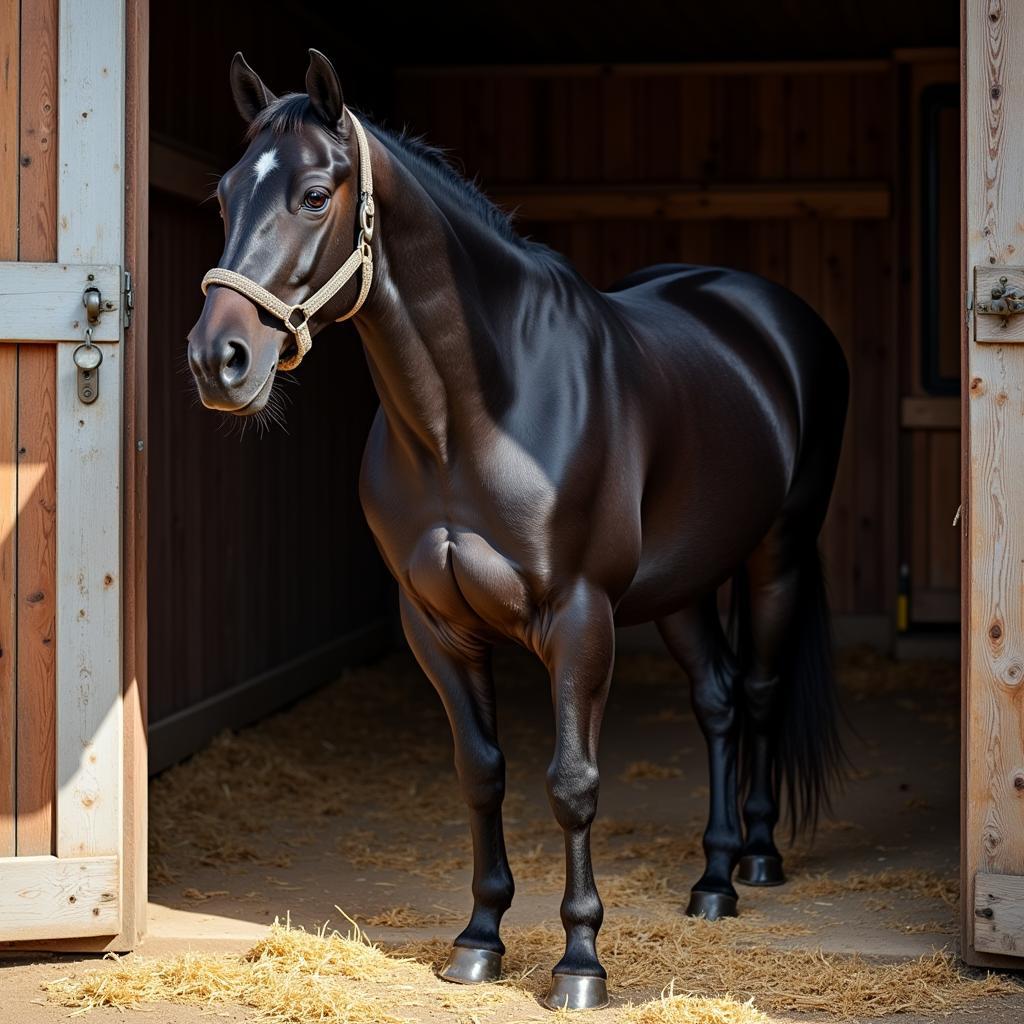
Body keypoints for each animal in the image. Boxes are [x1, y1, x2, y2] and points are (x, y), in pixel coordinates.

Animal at [186, 49, 847, 1015]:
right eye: (226, 195)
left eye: (313, 194)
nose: (219, 359)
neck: (473, 413)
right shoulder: (436, 625)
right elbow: (481, 772)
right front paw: (478, 940)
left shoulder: (579, 617)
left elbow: (571, 784)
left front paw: (580, 964)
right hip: (680, 587)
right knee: (719, 701)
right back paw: (714, 880)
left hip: (775, 557)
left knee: (758, 694)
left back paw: (758, 859)